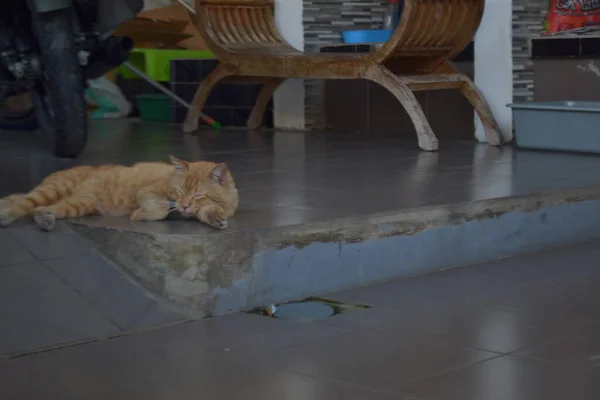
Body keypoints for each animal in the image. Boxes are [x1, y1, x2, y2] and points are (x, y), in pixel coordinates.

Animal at [0, 155, 239, 231]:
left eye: (197, 195)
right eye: (180, 191)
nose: (184, 205)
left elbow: (209, 210)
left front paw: (216, 217)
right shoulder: (149, 191)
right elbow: (160, 208)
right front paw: (140, 214)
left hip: (79, 205)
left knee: (40, 209)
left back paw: (44, 219)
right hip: (53, 190)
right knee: (23, 204)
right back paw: (6, 216)